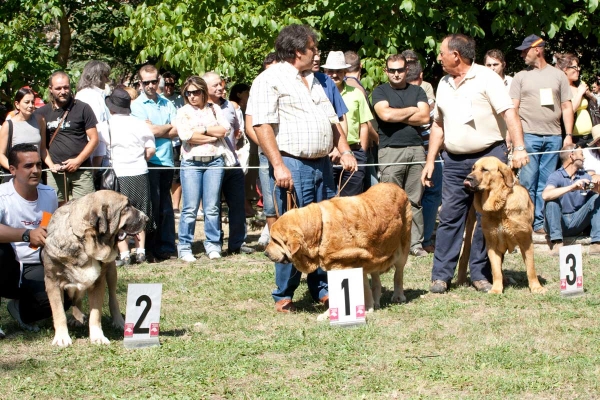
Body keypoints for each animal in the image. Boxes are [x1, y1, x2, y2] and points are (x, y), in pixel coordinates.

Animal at [42, 189, 149, 346]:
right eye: (126, 207)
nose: (147, 218)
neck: (85, 244)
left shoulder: (98, 283)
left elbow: (96, 314)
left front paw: (97, 336)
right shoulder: (52, 282)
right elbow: (59, 313)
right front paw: (62, 337)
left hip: (111, 273)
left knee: (113, 299)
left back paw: (118, 321)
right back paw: (77, 317)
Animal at [266, 183, 412, 314]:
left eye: (275, 240)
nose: (266, 253)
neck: (321, 229)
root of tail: (398, 188)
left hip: (402, 249)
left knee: (398, 273)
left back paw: (398, 296)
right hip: (376, 253)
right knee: (376, 277)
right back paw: (376, 302)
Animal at [466, 156, 548, 294]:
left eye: (484, 170)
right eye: (473, 168)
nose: (467, 179)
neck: (500, 208)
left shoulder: (526, 241)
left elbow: (531, 267)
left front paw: (536, 287)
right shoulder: (492, 245)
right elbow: (496, 270)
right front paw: (496, 290)